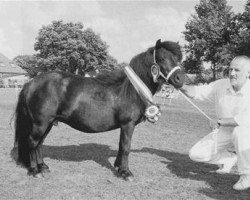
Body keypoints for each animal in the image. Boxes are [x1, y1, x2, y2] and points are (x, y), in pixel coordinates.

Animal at [14, 39, 186, 180]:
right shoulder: (128, 124)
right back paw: (35, 171)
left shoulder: (124, 126)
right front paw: (126, 173)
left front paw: (118, 167)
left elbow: (121, 146)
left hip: (48, 123)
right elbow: (126, 147)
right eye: (162, 58)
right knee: (32, 142)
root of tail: (31, 83)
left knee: (39, 144)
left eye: (178, 59)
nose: (180, 79)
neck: (132, 89)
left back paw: (43, 167)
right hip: (40, 123)